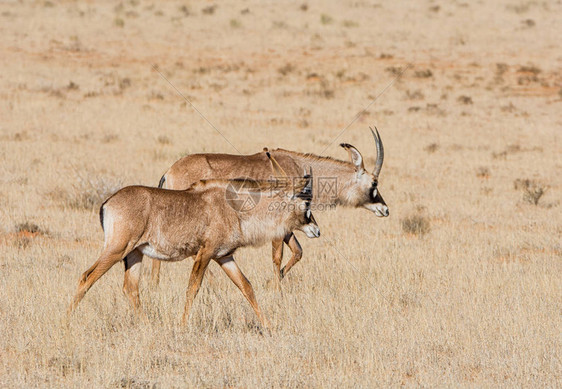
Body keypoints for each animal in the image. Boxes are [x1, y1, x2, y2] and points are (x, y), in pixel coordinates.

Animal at [68, 155, 318, 328]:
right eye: (306, 203)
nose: (316, 230)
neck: (235, 208)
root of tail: (108, 202)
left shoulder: (224, 256)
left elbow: (246, 287)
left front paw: (268, 325)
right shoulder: (205, 253)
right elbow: (193, 288)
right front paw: (182, 325)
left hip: (134, 254)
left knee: (131, 288)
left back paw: (147, 325)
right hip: (117, 249)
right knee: (87, 277)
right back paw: (66, 321)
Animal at [152, 127, 390, 284]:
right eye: (374, 183)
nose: (385, 209)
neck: (298, 166)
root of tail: (169, 171)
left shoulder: (287, 226)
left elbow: (298, 252)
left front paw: (280, 279)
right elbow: (278, 257)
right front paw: (276, 286)